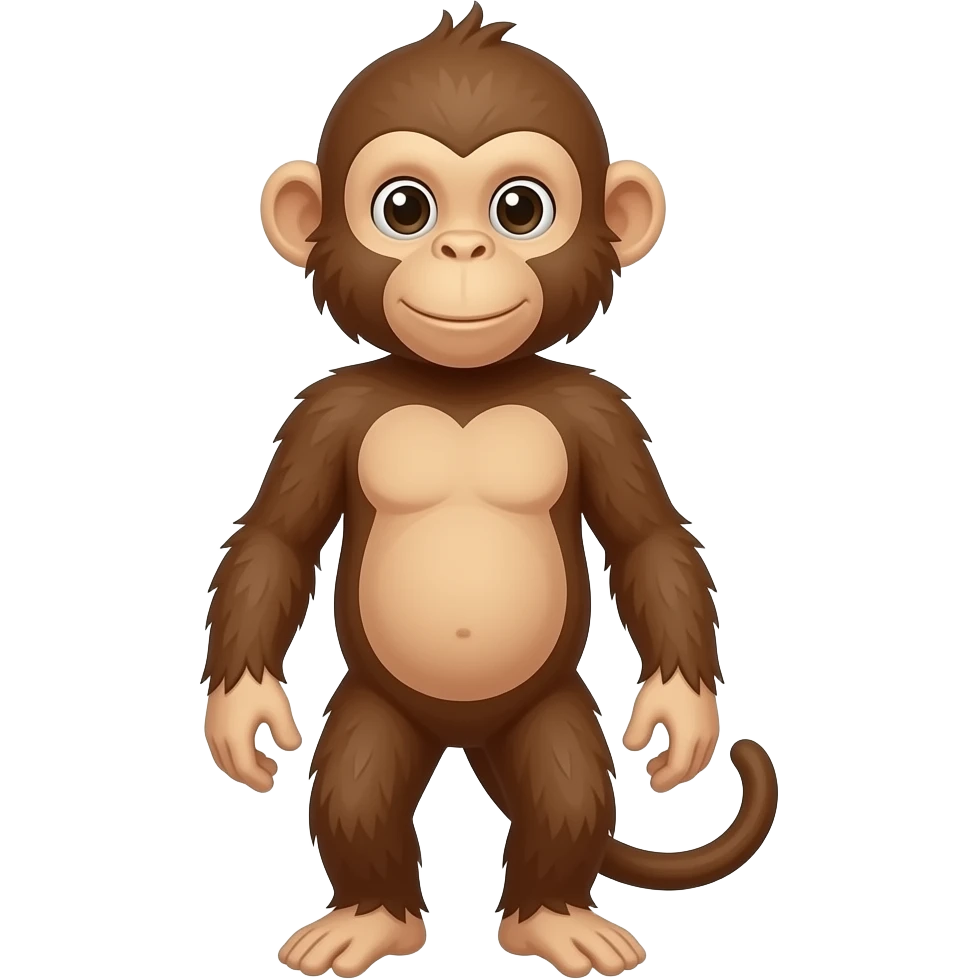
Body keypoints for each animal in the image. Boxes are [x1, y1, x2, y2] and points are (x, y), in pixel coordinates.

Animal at [202, 5, 779, 977]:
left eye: (519, 207)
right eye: (404, 207)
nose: (463, 246)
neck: (462, 386)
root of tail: (464, 733)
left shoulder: (601, 411)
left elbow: (648, 539)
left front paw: (681, 713)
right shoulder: (323, 411)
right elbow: (276, 538)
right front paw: (240, 711)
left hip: (544, 707)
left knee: (564, 784)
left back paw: (552, 916)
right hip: (381, 702)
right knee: (356, 783)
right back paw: (373, 916)